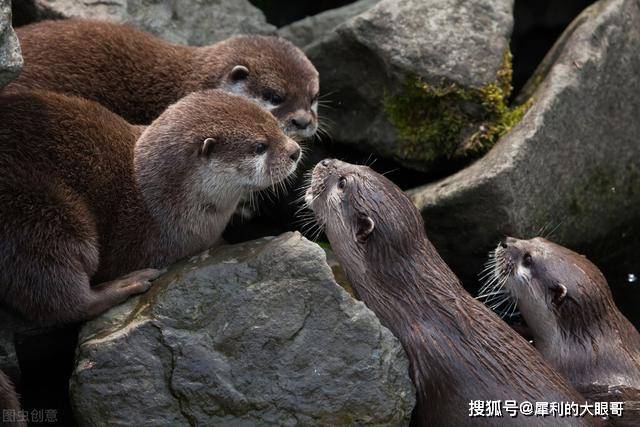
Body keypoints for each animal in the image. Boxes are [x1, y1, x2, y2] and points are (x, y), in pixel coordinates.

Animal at [0, 89, 302, 324]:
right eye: (260, 146)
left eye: (276, 124)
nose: (295, 151)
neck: (159, 200)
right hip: (39, 213)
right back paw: (126, 284)